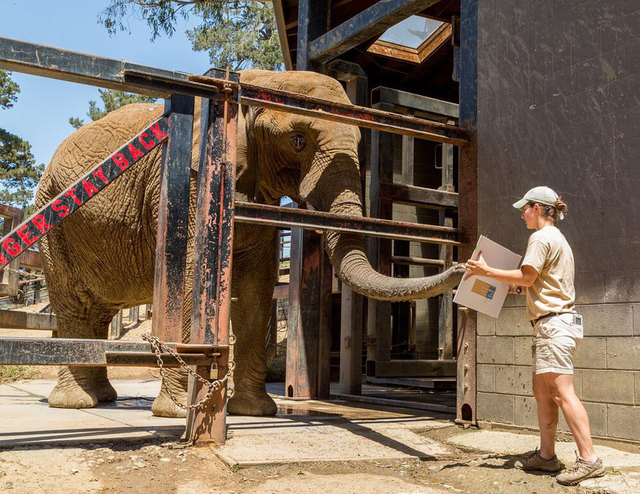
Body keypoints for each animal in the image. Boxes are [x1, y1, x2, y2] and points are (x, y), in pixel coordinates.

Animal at [36, 69, 464, 416]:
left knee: (95, 311)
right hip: (53, 219)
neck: (254, 82)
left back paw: (100, 399)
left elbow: (257, 287)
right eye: (298, 140)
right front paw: (179, 413)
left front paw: (256, 412)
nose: (461, 268)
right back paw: (76, 403)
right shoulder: (189, 184)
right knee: (75, 305)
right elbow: (191, 278)